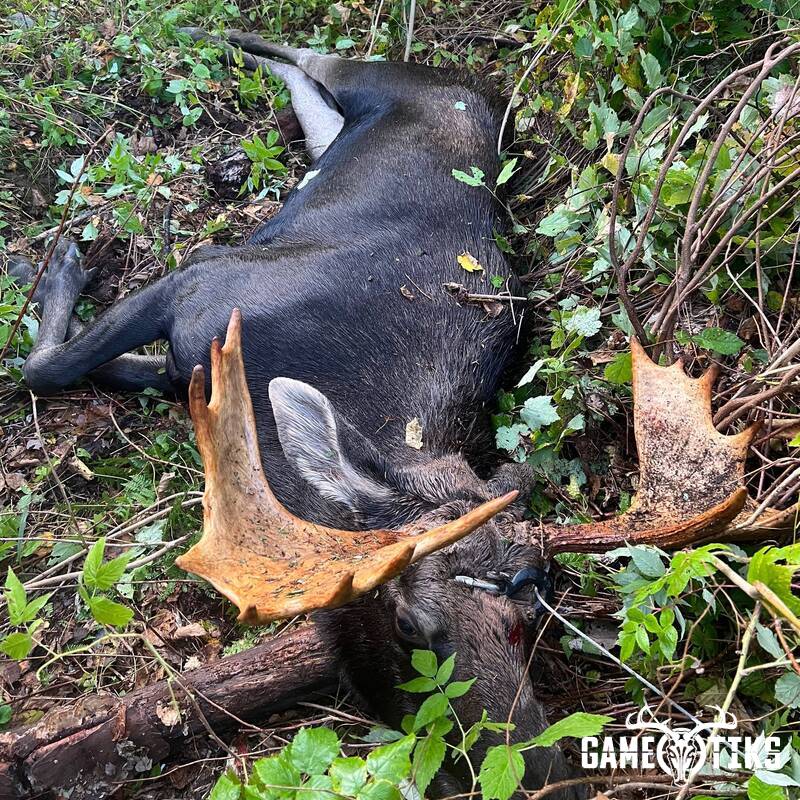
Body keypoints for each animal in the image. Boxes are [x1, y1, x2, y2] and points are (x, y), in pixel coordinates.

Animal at [6, 31, 776, 798]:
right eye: (408, 623)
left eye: (530, 615)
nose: (540, 774)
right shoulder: (201, 278)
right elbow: (48, 368)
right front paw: (57, 266)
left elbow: (109, 369)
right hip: (366, 80)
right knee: (298, 55)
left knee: (304, 91)